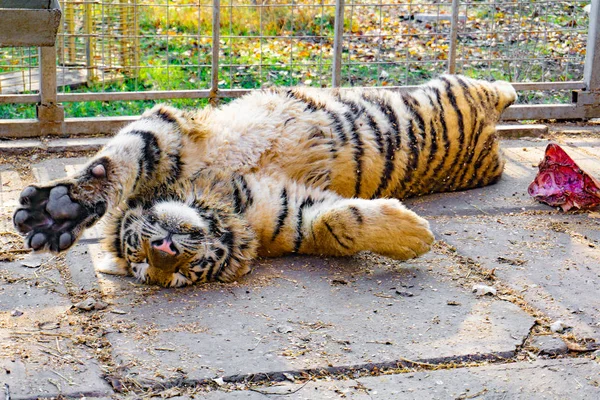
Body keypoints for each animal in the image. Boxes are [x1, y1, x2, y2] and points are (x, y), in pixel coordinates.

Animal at [11, 74, 516, 288]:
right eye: (147, 267)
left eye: (138, 248)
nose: (164, 250)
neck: (216, 193)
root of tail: (493, 143)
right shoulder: (293, 214)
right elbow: (336, 224)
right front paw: (414, 235)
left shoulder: (173, 130)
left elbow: (121, 158)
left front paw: (56, 212)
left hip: (456, 90)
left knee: (497, 87)